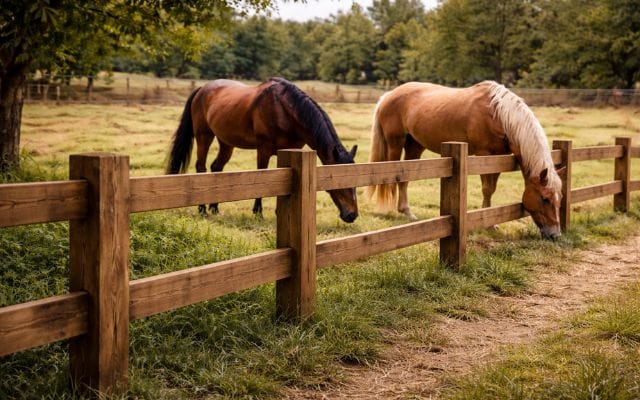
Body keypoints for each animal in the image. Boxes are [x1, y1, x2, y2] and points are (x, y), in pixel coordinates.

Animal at [167, 77, 358, 223]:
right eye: (340, 180)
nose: (352, 215)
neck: (284, 110)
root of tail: (202, 89)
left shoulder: (291, 151)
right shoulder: (264, 149)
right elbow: (263, 175)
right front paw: (258, 212)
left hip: (226, 142)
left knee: (216, 168)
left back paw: (214, 208)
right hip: (204, 136)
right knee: (201, 167)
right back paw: (202, 210)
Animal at [366, 80, 564, 240]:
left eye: (560, 198)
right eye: (544, 198)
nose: (555, 234)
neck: (499, 113)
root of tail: (389, 95)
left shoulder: (498, 157)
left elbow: (492, 189)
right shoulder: (485, 154)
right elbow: (487, 189)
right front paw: (487, 222)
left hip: (414, 146)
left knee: (405, 179)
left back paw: (407, 213)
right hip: (395, 144)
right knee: (392, 178)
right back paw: (393, 210)